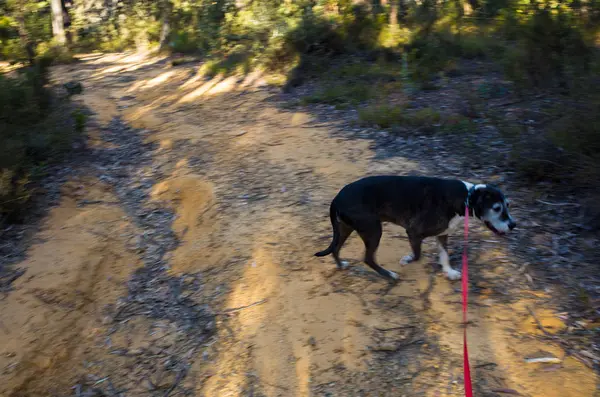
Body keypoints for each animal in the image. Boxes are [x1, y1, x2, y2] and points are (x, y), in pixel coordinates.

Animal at [314, 175, 516, 280]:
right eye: (497, 208)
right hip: (373, 230)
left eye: (508, 205)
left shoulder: (443, 234)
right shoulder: (413, 232)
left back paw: (341, 265)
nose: (513, 225)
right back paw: (389, 275)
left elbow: (444, 255)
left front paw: (449, 272)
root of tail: (336, 198)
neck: (467, 198)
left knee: (336, 248)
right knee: (368, 259)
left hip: (345, 228)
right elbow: (418, 255)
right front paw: (407, 259)